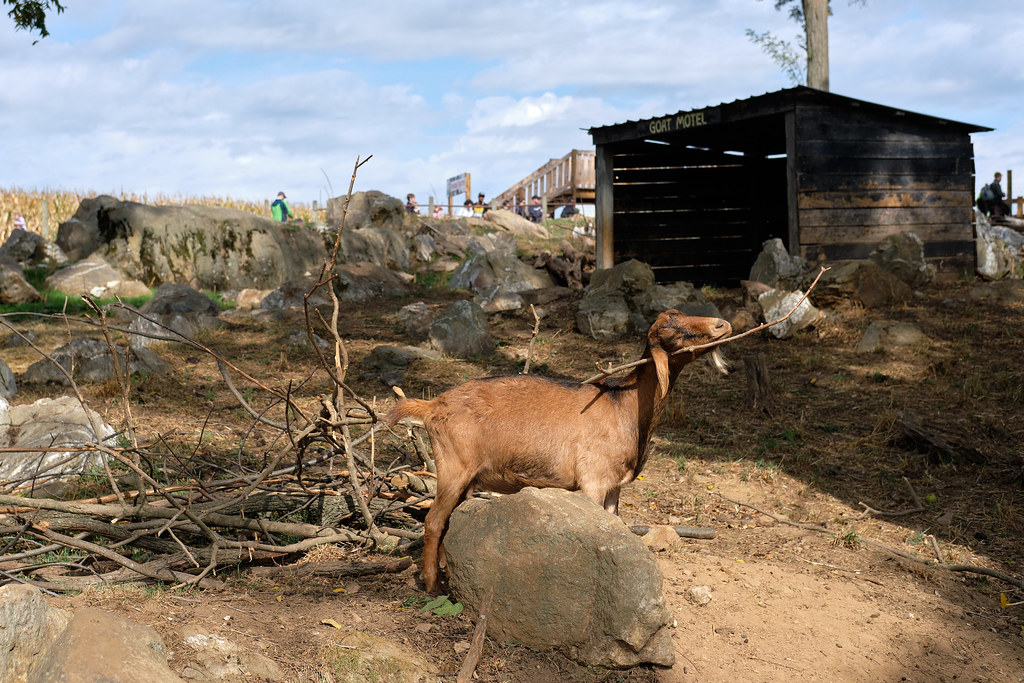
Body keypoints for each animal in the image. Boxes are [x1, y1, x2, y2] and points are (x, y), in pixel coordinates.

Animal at [386, 310, 731, 594]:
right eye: (672, 333)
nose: (722, 324)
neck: (624, 406)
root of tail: (433, 406)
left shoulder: (614, 487)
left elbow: (615, 526)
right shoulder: (593, 480)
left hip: (469, 477)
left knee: (449, 520)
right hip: (453, 466)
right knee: (434, 520)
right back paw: (431, 584)